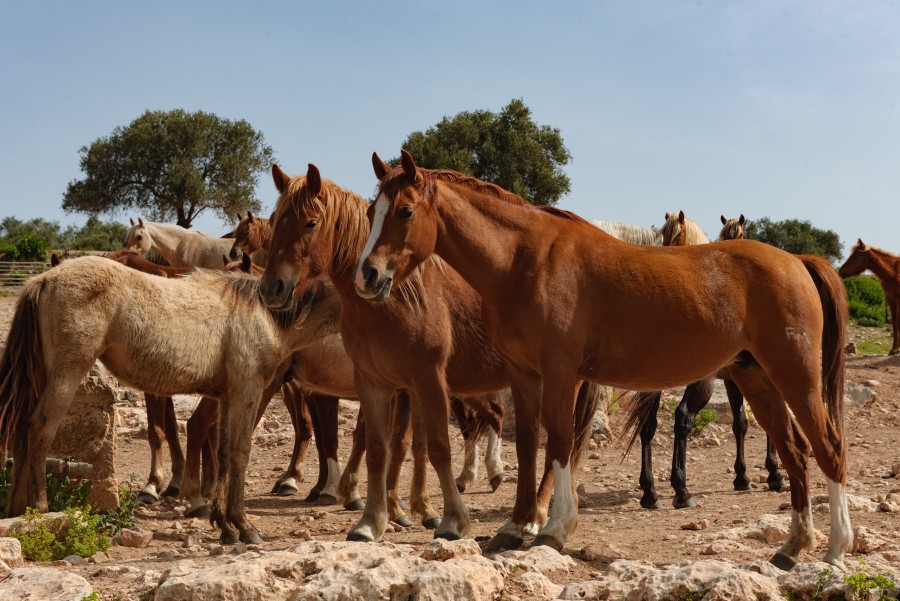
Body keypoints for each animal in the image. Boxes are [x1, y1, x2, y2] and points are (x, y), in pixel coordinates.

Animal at [256, 162, 600, 548]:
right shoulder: (375, 383)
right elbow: (380, 449)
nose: (271, 288)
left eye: (310, 222)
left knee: (554, 446)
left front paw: (450, 519)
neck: (397, 298)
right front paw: (371, 521)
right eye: (275, 219)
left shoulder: (427, 378)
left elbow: (435, 447)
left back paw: (537, 515)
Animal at [354, 149, 852, 568]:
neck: (525, 259)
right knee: (795, 450)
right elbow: (528, 445)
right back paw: (793, 546)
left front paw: (554, 529)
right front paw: (516, 525)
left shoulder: (561, 374)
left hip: (795, 377)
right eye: (371, 212)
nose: (368, 276)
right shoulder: (523, 375)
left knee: (827, 447)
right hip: (757, 379)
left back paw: (836, 550)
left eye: (405, 211)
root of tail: (797, 261)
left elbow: (559, 442)